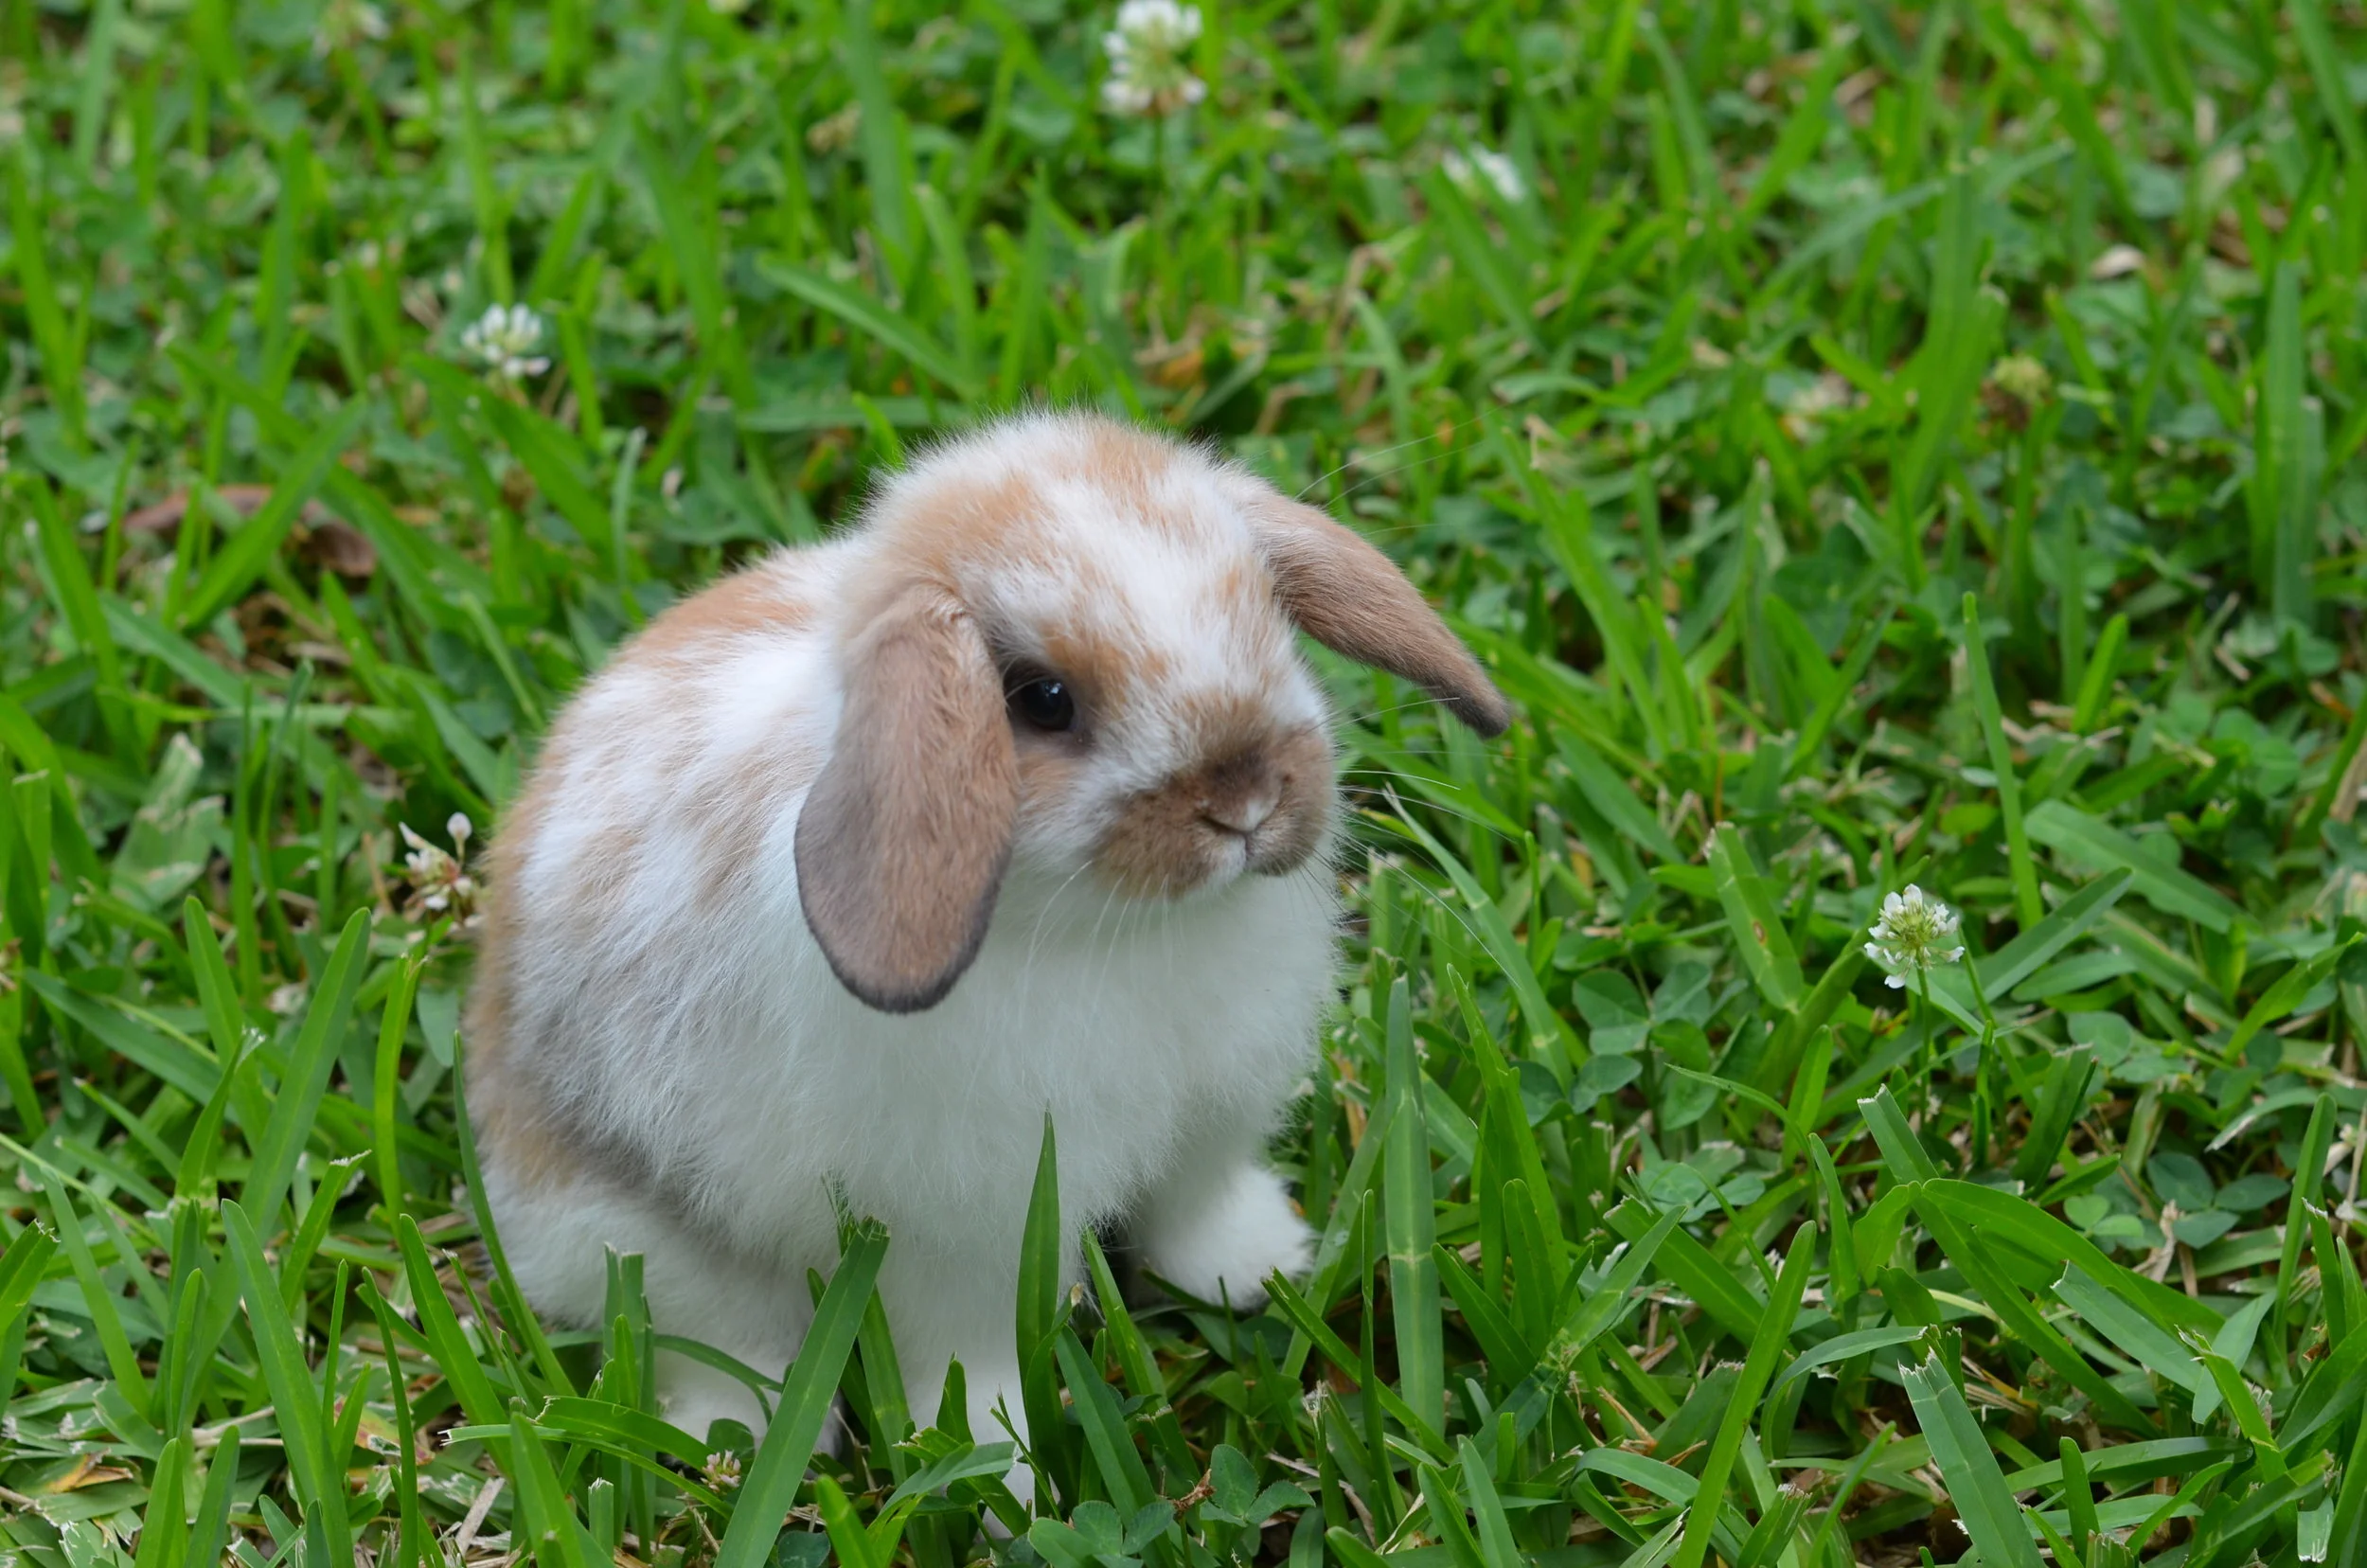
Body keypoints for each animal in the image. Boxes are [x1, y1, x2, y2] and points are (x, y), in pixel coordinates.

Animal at [464, 410, 1508, 1457]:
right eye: (1042, 699)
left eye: (1271, 621)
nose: (1245, 801)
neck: (1118, 930)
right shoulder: (958, 1234)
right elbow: (967, 1356)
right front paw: (992, 1461)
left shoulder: (1210, 1127)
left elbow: (1193, 1211)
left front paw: (1262, 1269)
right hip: (649, 1249)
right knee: (710, 1339)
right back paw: (741, 1438)